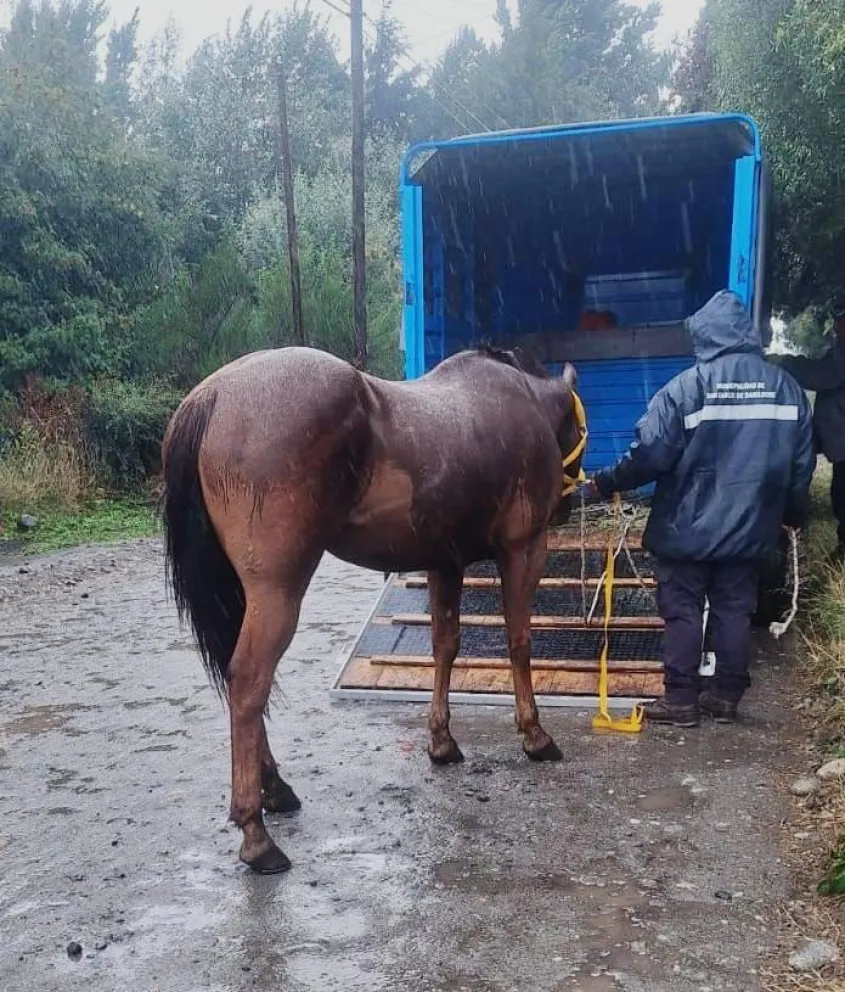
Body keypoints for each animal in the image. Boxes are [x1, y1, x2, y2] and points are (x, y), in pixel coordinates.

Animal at [161, 344, 584, 874]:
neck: (520, 399)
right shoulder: (523, 551)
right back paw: (257, 835)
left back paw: (275, 790)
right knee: (249, 683)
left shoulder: (444, 564)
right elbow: (519, 642)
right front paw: (534, 734)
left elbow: (445, 646)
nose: (569, 505)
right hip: (278, 591)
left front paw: (442, 742)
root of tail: (213, 397)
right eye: (578, 427)